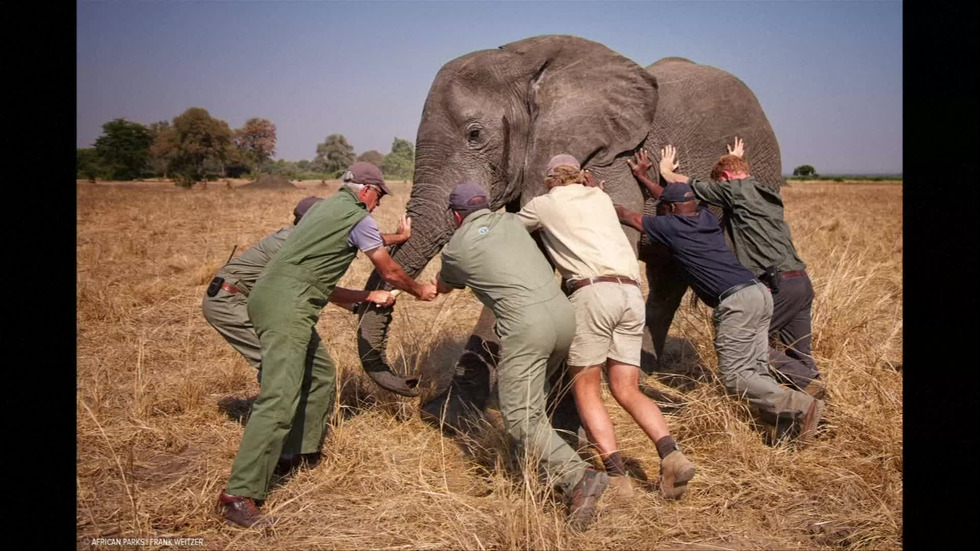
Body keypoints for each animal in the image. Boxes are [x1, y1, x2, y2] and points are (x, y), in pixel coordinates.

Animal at [352, 35, 780, 436]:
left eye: (475, 134)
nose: (411, 382)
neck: (528, 66)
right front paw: (449, 417)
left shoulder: (609, 162)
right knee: (666, 281)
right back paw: (644, 371)